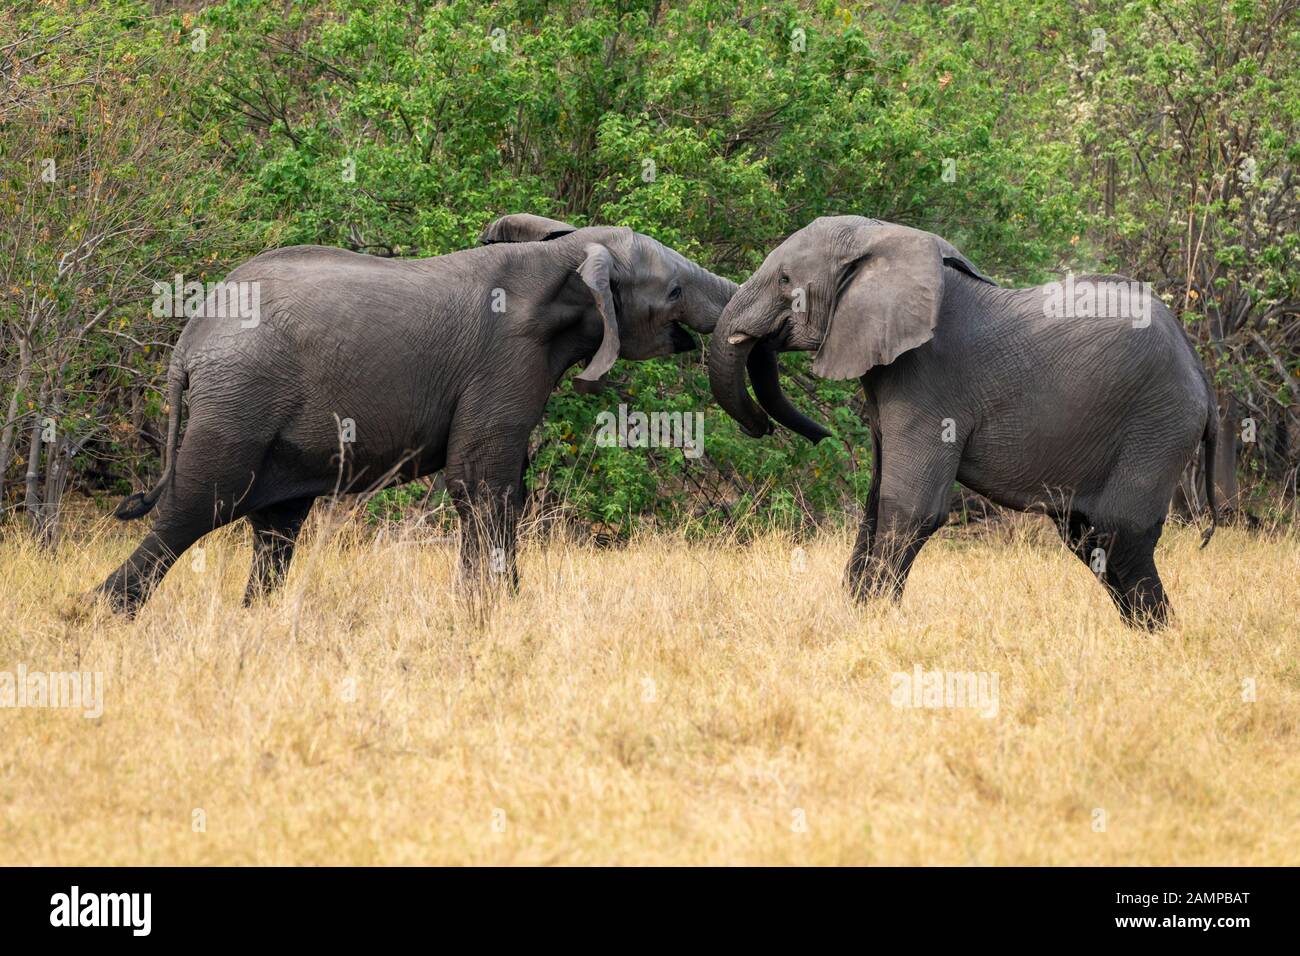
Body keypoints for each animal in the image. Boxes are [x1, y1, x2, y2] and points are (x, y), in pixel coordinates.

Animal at [98, 214, 736, 614]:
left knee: (276, 527)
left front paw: (495, 605)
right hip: (239, 402)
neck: (563, 253)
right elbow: (482, 483)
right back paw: (110, 613)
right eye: (674, 291)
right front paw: (489, 610)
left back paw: (255, 616)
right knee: (198, 506)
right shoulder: (504, 359)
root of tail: (190, 340)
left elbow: (499, 485)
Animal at [708, 215, 1218, 628]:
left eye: (785, 279)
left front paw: (873, 620)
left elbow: (909, 508)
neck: (882, 239)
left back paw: (1158, 637)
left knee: (1118, 533)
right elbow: (875, 500)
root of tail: (1201, 374)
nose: (765, 428)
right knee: (1088, 538)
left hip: (1158, 424)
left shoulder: (930, 386)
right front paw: (856, 612)